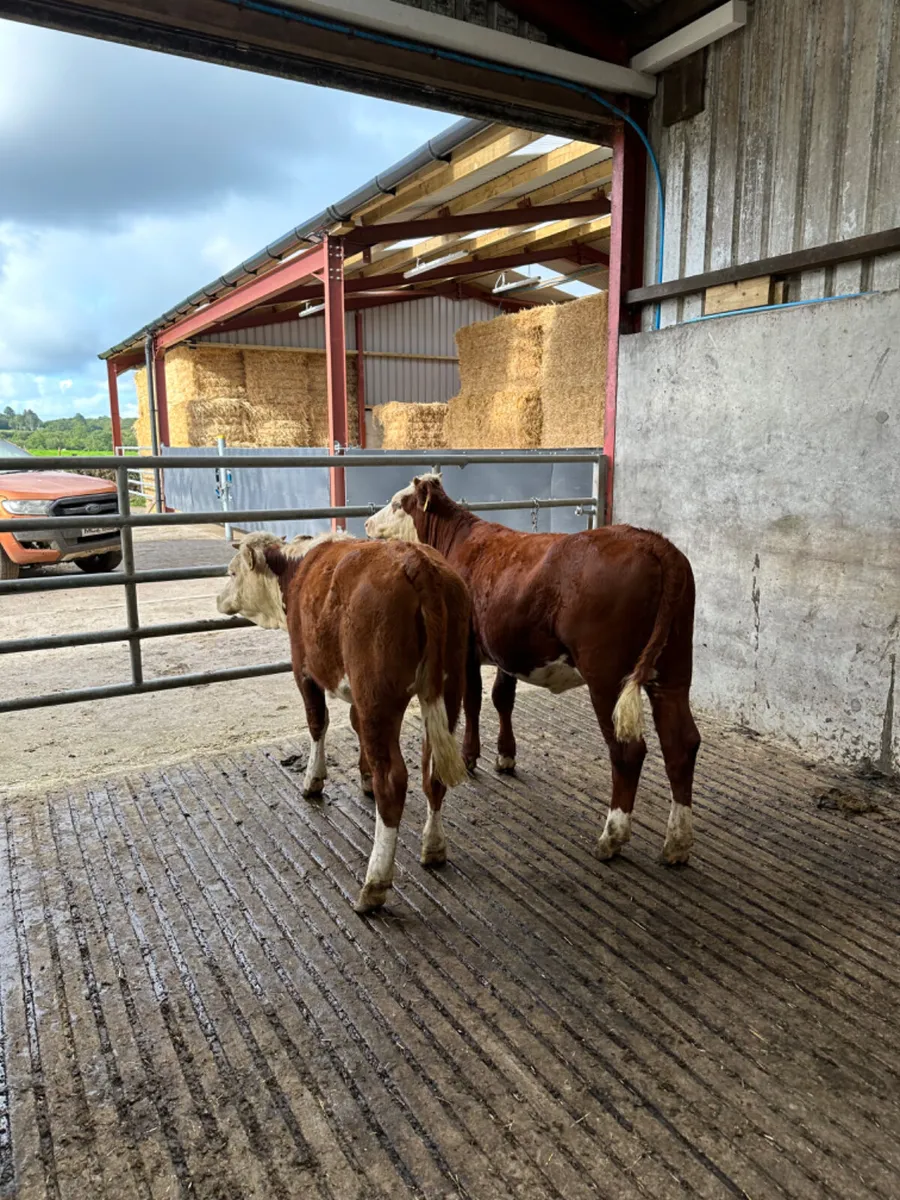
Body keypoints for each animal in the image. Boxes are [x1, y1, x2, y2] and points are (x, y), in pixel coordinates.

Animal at [216, 530, 471, 913]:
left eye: (232, 573)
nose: (218, 599)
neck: (296, 569)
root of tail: (415, 560)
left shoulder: (303, 667)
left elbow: (316, 722)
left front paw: (313, 779)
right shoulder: (356, 696)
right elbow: (355, 726)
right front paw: (364, 776)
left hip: (378, 695)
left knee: (393, 780)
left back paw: (374, 884)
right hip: (447, 687)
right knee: (433, 771)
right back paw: (434, 847)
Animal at [365, 475, 700, 867]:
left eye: (397, 502)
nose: (367, 523)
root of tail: (654, 543)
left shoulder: (467, 647)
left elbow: (474, 701)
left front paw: (470, 756)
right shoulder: (506, 648)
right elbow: (502, 698)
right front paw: (505, 755)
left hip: (607, 676)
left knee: (627, 751)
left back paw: (612, 837)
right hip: (675, 668)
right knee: (681, 743)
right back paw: (677, 843)